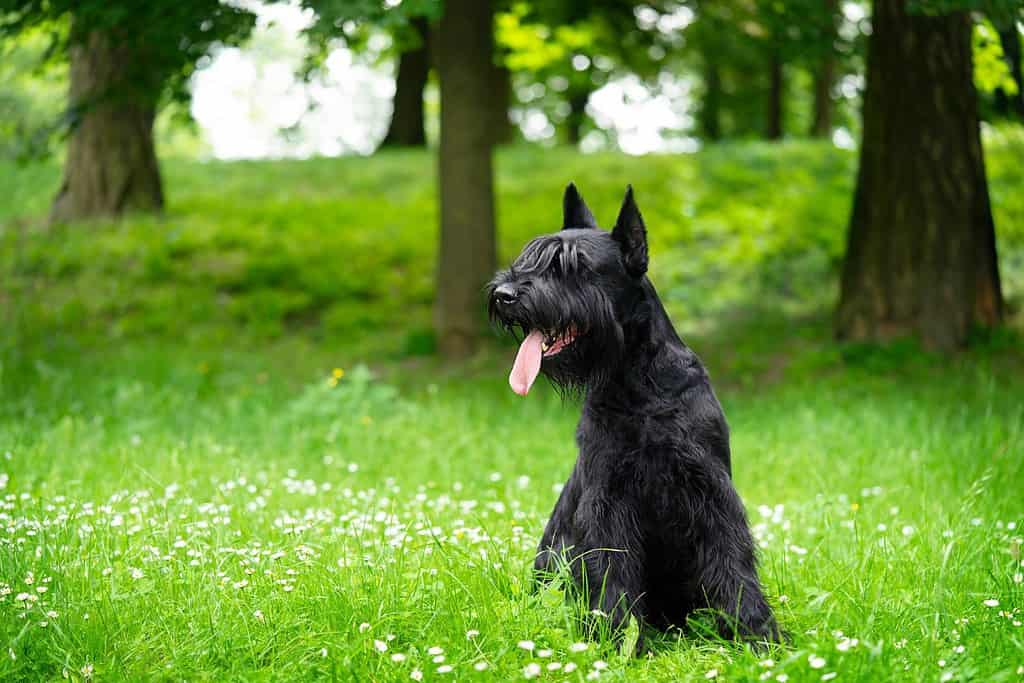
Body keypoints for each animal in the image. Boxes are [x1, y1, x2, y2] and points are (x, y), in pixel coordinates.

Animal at [485, 183, 774, 647]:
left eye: (573, 266)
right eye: (531, 257)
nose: (503, 295)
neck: (637, 383)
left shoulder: (710, 492)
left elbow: (733, 560)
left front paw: (757, 635)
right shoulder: (608, 498)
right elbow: (612, 571)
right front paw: (616, 639)